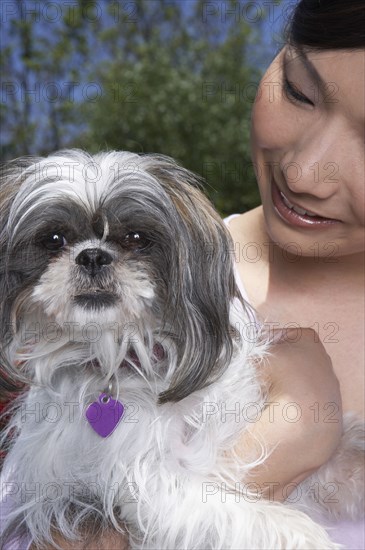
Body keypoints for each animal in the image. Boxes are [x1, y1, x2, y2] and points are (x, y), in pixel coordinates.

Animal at [0, 149, 362, 548]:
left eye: (137, 238)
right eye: (54, 239)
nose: (92, 255)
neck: (125, 351)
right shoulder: (143, 478)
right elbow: (234, 512)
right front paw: (306, 536)